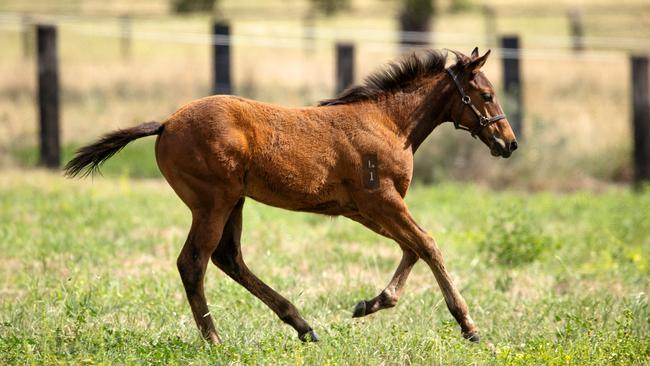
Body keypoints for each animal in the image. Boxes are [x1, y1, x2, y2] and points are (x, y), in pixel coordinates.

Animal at [66, 48, 516, 344]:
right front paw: (469, 325)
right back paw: (215, 340)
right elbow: (428, 244)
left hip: (234, 202)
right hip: (212, 202)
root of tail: (165, 123)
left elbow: (412, 248)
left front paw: (370, 304)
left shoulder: (361, 209)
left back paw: (301, 325)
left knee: (228, 257)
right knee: (194, 262)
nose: (509, 143)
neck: (389, 123)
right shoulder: (381, 200)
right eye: (487, 95)